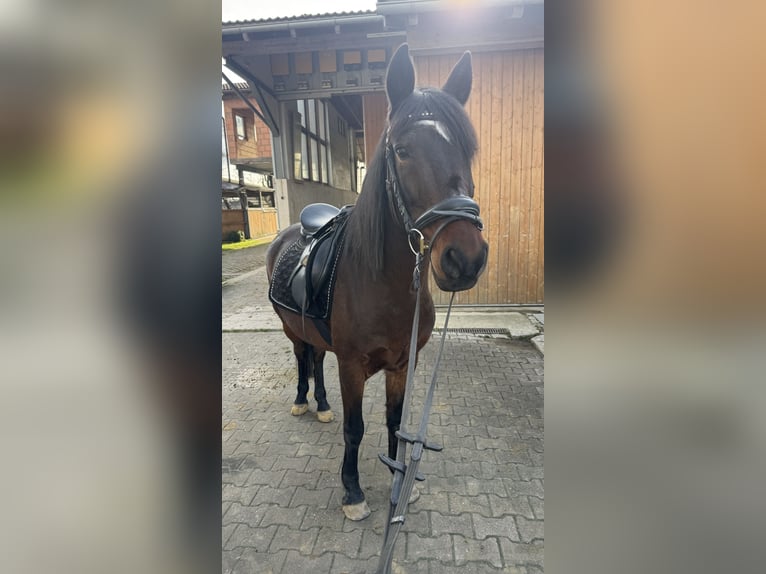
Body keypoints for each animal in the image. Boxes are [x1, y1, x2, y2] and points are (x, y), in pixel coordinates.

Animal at [266, 43, 488, 521]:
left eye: (468, 149)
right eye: (401, 150)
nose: (465, 258)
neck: (383, 285)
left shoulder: (404, 365)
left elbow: (394, 421)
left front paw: (398, 479)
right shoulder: (352, 365)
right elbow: (356, 428)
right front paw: (352, 492)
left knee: (316, 359)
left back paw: (322, 404)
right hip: (290, 328)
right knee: (302, 358)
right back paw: (302, 400)